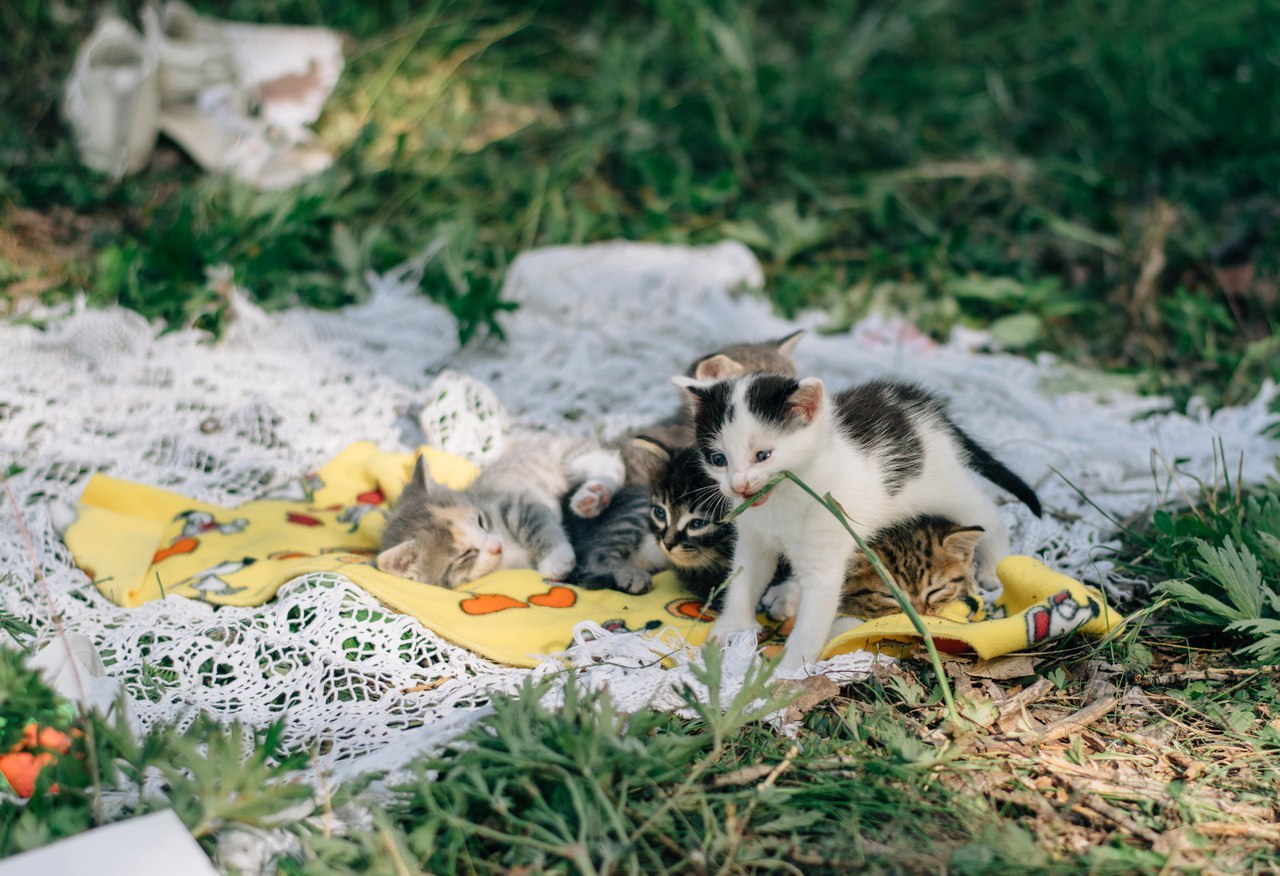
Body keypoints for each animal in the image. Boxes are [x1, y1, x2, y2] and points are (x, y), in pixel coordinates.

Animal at [373, 430, 624, 589]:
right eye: (466, 553)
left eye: (480, 521)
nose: (496, 545)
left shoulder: (516, 502)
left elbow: (540, 525)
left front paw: (557, 559)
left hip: (561, 453)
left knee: (610, 464)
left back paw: (592, 495)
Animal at [670, 373, 1039, 676]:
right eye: (718, 459)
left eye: (763, 455)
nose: (738, 485)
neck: (783, 501)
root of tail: (920, 403)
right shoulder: (754, 537)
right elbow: (743, 578)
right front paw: (730, 628)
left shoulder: (825, 552)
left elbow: (815, 616)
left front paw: (785, 674)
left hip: (946, 488)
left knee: (986, 511)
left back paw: (993, 566)